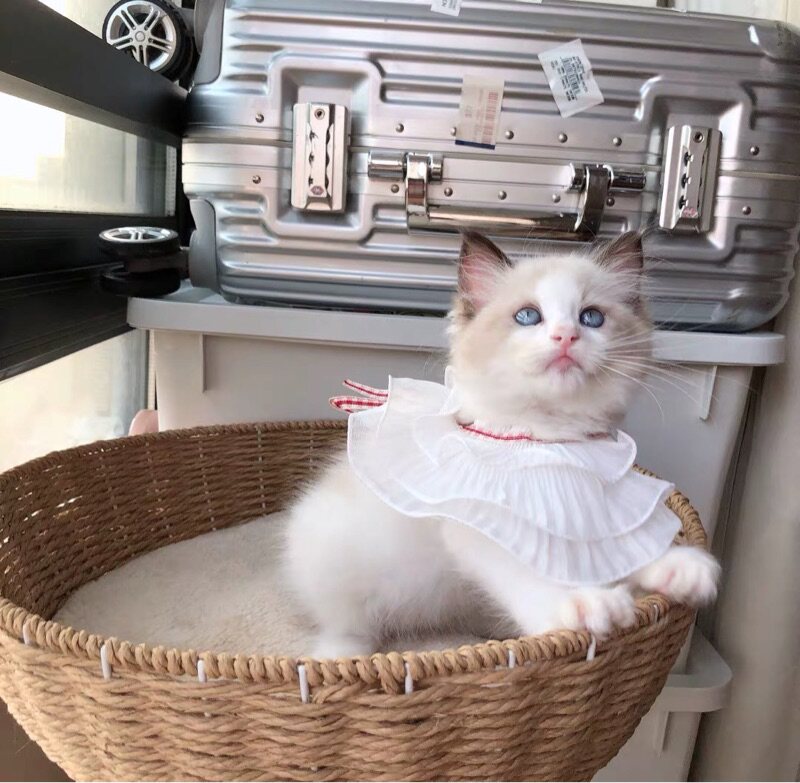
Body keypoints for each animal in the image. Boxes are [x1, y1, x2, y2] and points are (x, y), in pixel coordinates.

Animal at [284, 231, 720, 659]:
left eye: (591, 317)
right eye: (528, 316)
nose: (566, 335)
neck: (547, 439)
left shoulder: (592, 508)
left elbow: (621, 549)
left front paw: (677, 565)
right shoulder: (481, 529)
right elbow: (529, 573)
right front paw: (581, 604)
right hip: (334, 561)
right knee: (345, 627)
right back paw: (341, 657)